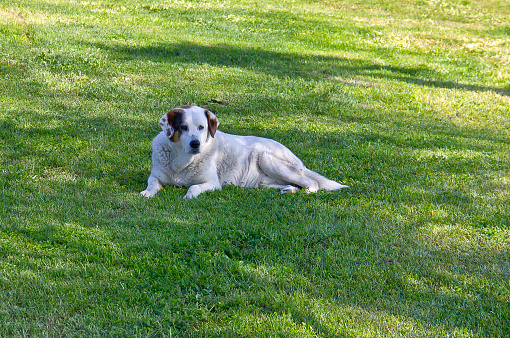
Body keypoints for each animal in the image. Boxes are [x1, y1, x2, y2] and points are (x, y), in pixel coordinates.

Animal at [139, 104, 348, 197]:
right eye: (183, 127)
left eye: (201, 128)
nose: (195, 144)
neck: (182, 161)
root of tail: (300, 162)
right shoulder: (156, 176)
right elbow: (152, 184)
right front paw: (147, 193)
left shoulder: (213, 183)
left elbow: (193, 187)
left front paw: (189, 195)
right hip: (264, 180)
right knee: (289, 184)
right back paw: (287, 189)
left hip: (267, 159)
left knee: (312, 183)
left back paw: (306, 191)